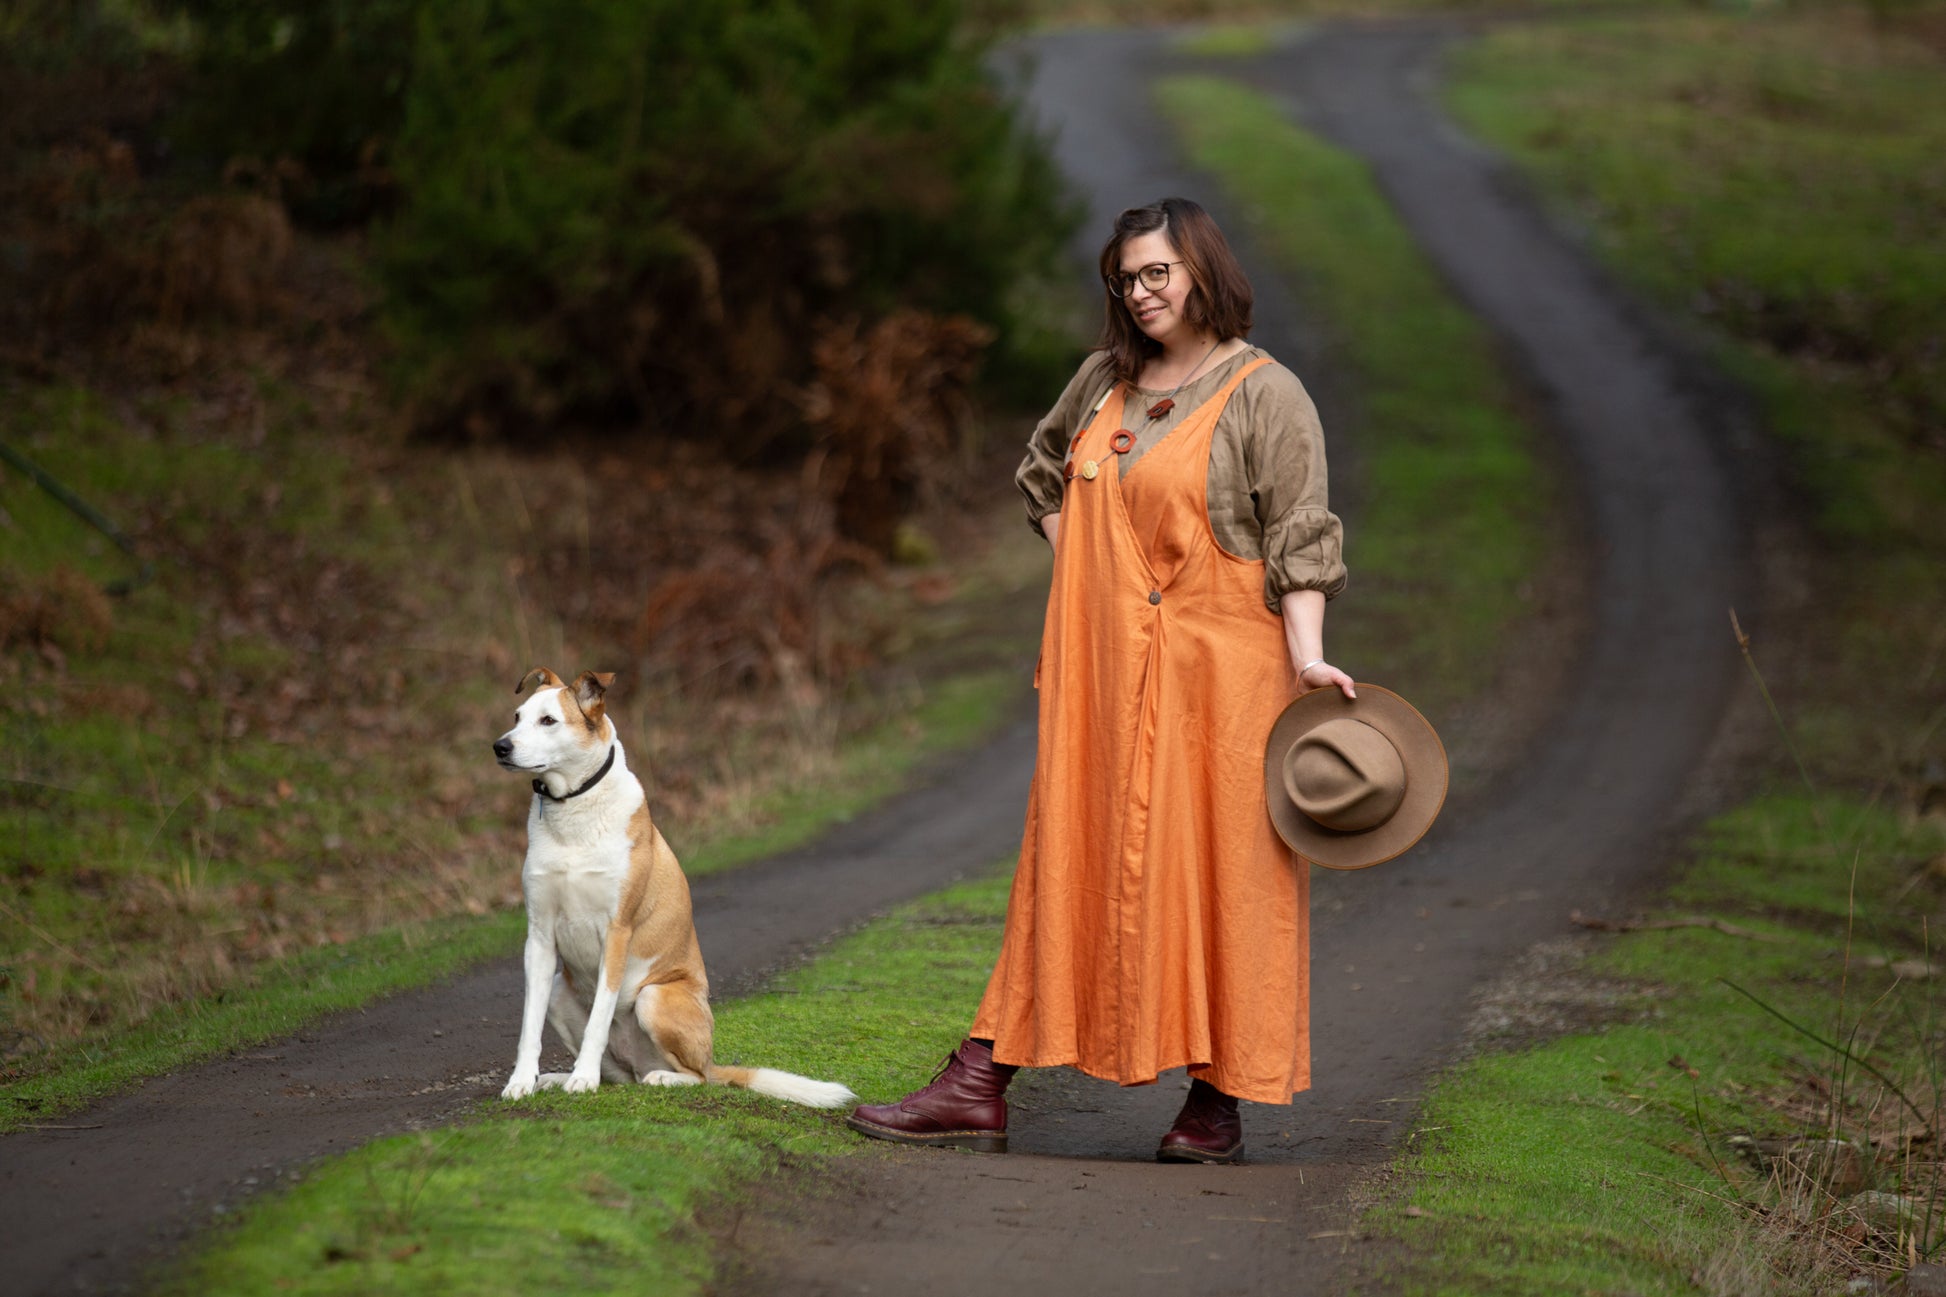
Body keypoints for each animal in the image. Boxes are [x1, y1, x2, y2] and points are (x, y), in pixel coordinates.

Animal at [494, 666, 852, 1098]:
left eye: (549, 721)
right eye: (517, 716)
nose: (500, 747)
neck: (574, 812)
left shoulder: (617, 933)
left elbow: (599, 1017)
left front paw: (582, 1079)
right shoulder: (540, 938)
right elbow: (528, 1026)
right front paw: (521, 1081)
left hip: (654, 997)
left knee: (696, 1078)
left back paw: (651, 1076)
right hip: (561, 994)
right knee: (619, 1076)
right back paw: (561, 1077)